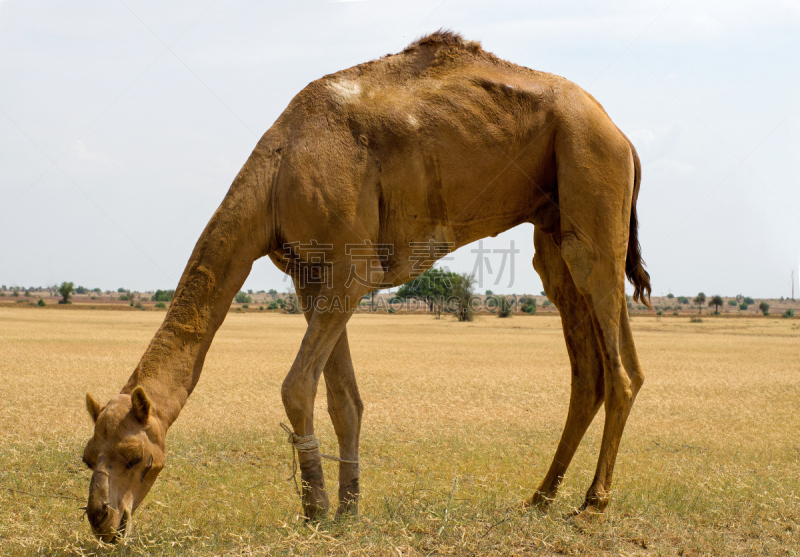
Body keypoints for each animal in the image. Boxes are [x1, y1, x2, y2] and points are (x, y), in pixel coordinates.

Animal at [81, 29, 648, 540]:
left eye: (134, 456)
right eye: (88, 456)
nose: (100, 518)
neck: (278, 172)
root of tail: (623, 138)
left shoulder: (351, 271)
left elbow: (297, 386)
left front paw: (315, 508)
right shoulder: (310, 276)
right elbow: (343, 399)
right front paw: (348, 508)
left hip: (591, 185)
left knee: (618, 367)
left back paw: (592, 505)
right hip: (553, 235)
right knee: (592, 368)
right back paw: (541, 497)